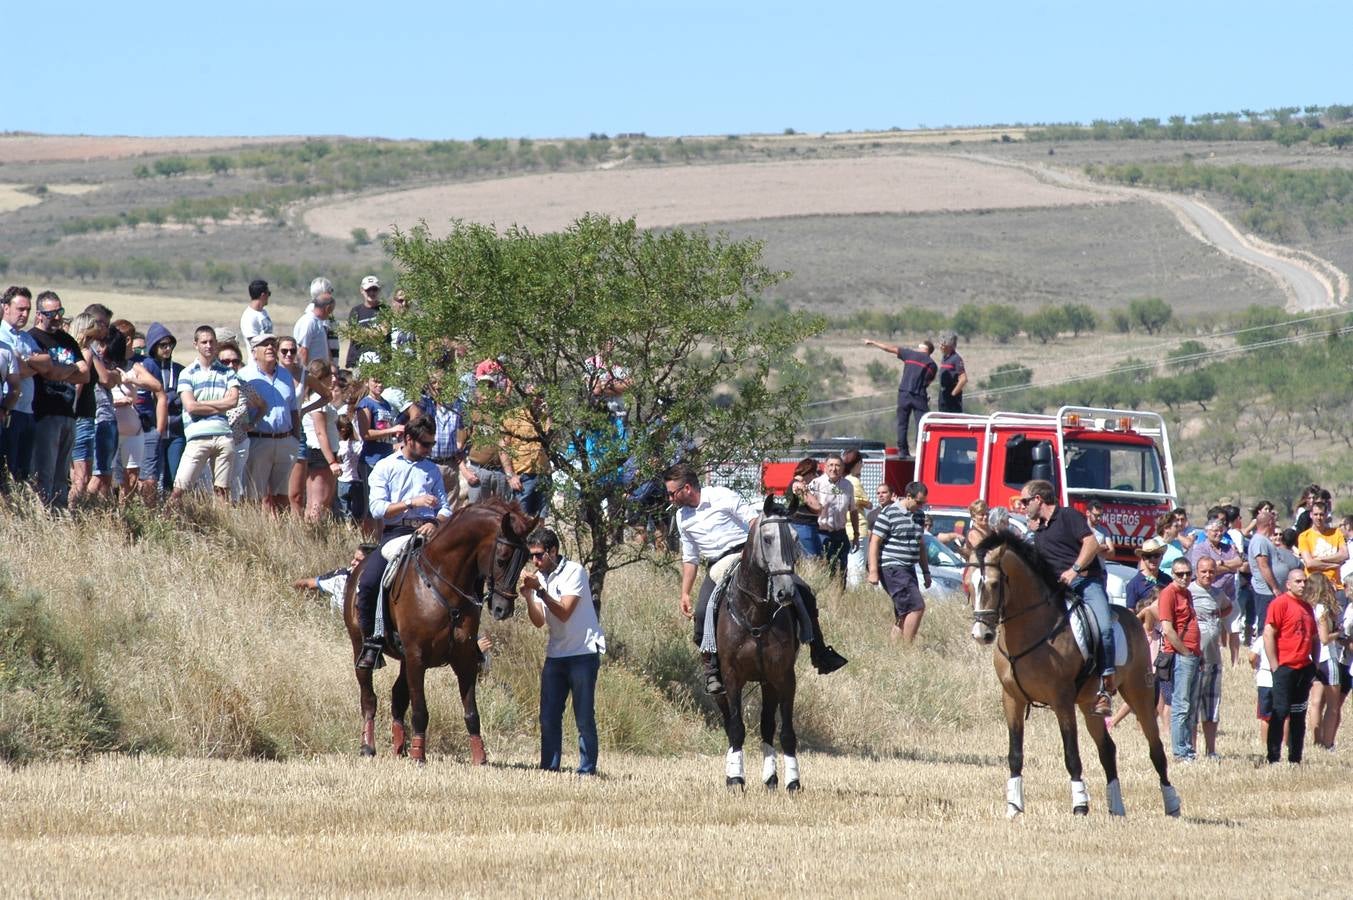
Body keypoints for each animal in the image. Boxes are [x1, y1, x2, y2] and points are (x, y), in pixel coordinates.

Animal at [343, 495, 538, 763]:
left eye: (526, 558)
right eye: (502, 558)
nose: (502, 609)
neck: (441, 583)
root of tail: (355, 572)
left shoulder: (464, 657)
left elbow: (471, 712)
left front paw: (480, 758)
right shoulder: (417, 656)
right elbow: (420, 711)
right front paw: (418, 755)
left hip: (404, 659)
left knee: (397, 697)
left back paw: (399, 748)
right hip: (360, 647)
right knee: (369, 698)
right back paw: (368, 746)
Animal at [719, 498, 800, 795]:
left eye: (795, 538)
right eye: (767, 539)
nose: (785, 593)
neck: (755, 614)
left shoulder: (784, 677)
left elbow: (786, 732)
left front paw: (792, 782)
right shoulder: (731, 676)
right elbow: (736, 728)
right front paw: (735, 778)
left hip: (769, 682)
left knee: (767, 725)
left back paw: (771, 778)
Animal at [968, 530, 1179, 817]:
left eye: (992, 584)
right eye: (971, 585)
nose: (982, 634)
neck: (1030, 631)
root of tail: (1135, 616)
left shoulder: (1062, 700)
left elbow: (1071, 754)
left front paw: (1080, 806)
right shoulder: (1012, 699)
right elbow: (1015, 754)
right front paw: (1014, 807)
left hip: (1140, 694)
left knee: (1155, 747)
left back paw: (1172, 804)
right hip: (1091, 705)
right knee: (1107, 749)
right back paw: (1117, 808)